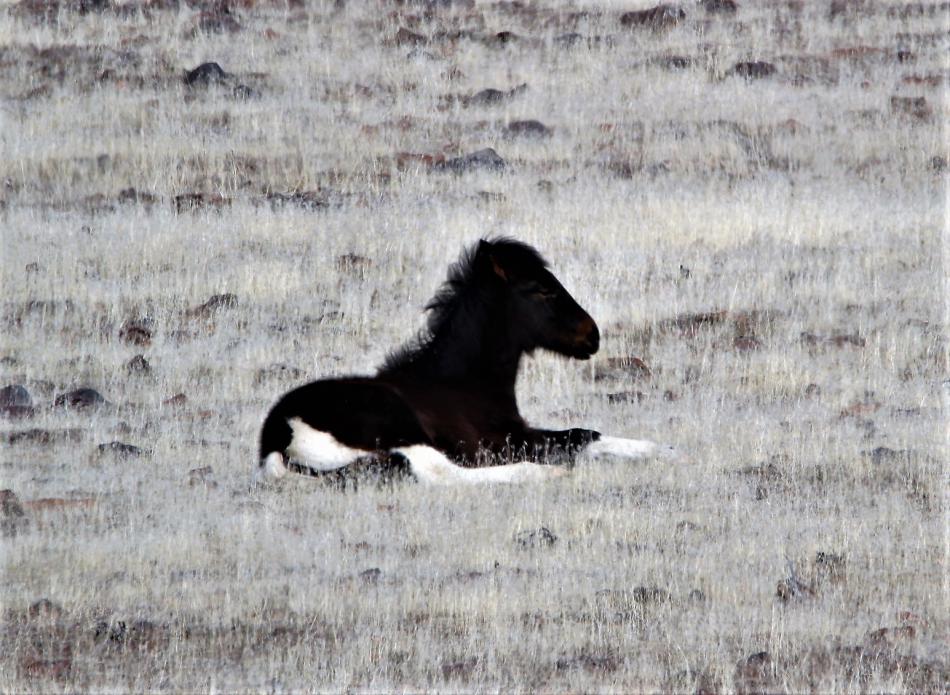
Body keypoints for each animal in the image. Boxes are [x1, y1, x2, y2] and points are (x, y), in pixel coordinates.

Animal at [257, 237, 674, 486]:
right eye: (541, 290)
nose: (592, 335)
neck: (464, 386)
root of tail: (278, 435)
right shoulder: (505, 441)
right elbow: (579, 436)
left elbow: (584, 433)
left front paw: (662, 449)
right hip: (401, 430)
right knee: (437, 472)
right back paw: (545, 473)